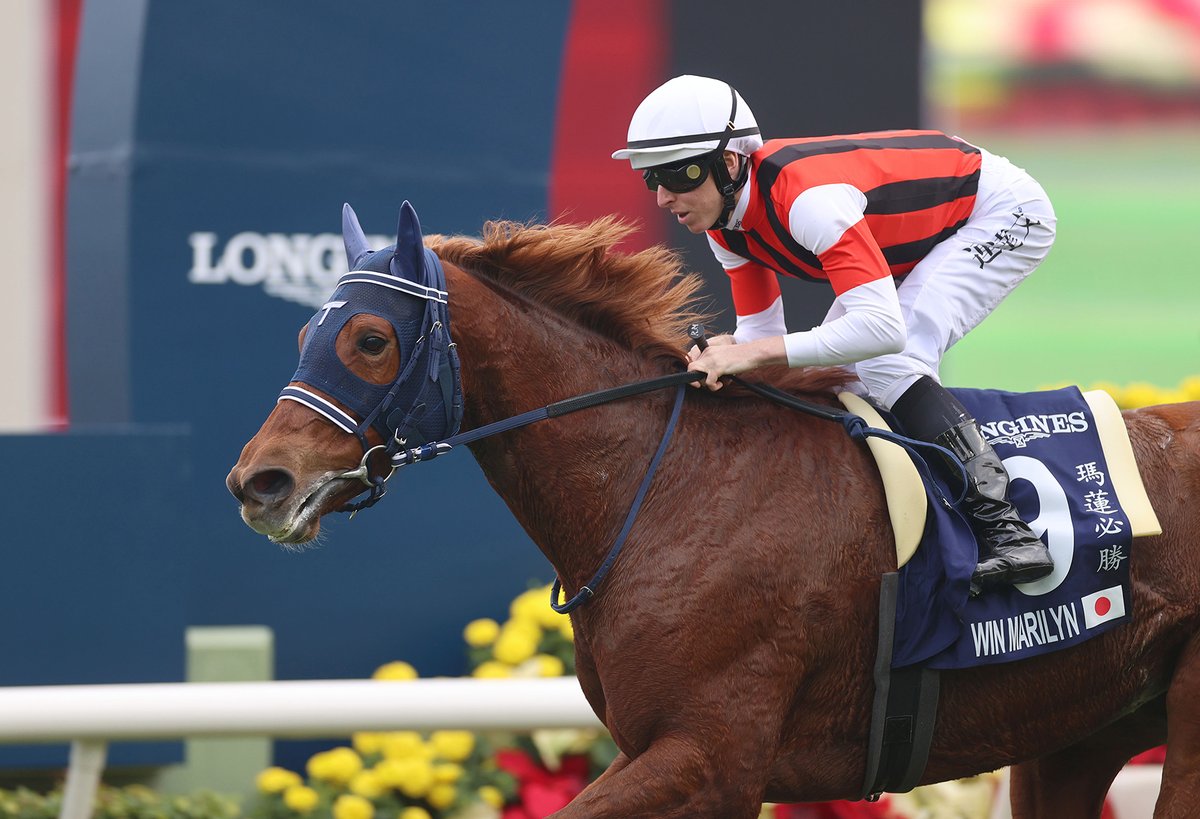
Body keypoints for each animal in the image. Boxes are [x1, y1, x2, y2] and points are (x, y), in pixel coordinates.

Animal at [227, 203, 1200, 818]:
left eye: (370, 338)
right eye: (305, 331)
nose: (258, 481)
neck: (671, 488)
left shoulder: (711, 756)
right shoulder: (665, 750)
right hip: (1075, 730)